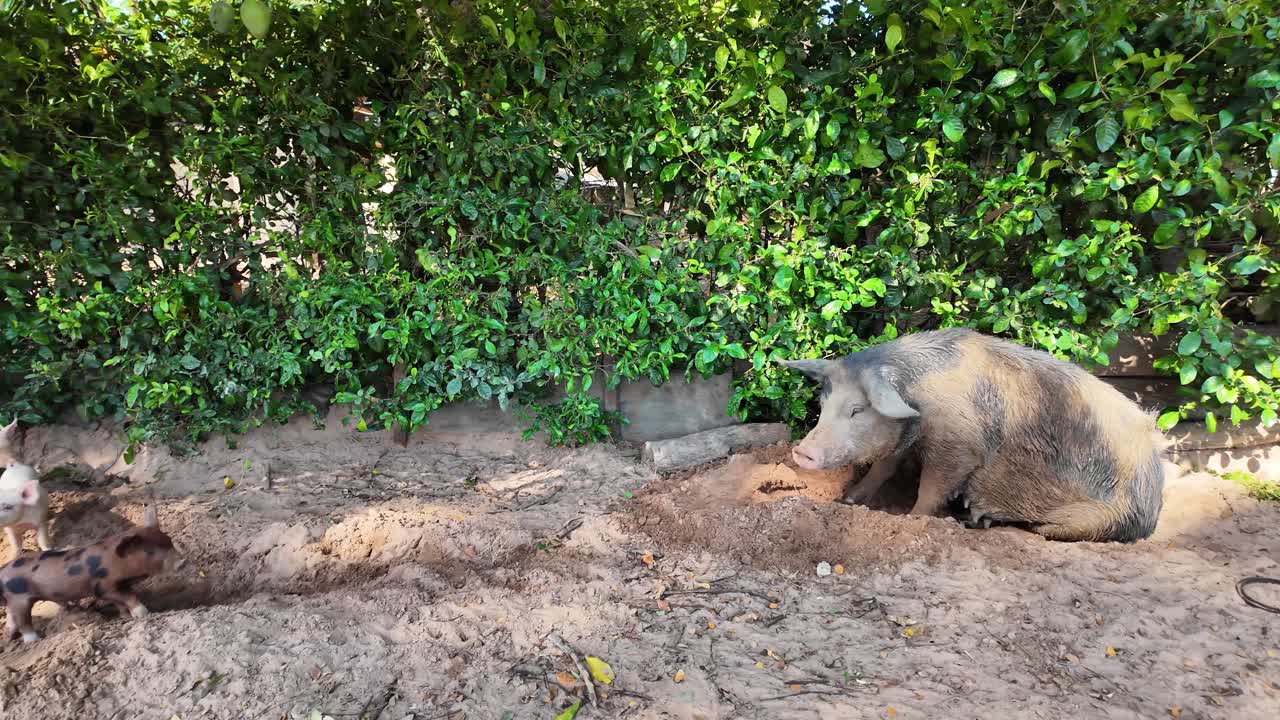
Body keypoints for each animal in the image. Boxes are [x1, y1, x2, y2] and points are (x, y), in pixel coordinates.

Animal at [1, 504, 184, 643]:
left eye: (168, 541)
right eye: (150, 552)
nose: (182, 561)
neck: (117, 563)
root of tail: (3, 571)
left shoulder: (119, 586)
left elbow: (121, 601)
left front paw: (125, 616)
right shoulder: (102, 586)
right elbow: (128, 597)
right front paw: (142, 613)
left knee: (12, 617)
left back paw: (10, 637)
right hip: (18, 598)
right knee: (23, 620)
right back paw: (34, 640)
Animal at [781, 328, 1165, 543]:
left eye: (858, 409)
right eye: (824, 402)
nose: (801, 452)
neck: (920, 403)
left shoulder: (958, 447)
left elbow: (932, 486)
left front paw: (911, 519)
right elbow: (883, 467)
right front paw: (848, 501)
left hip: (1094, 519)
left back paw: (978, 520)